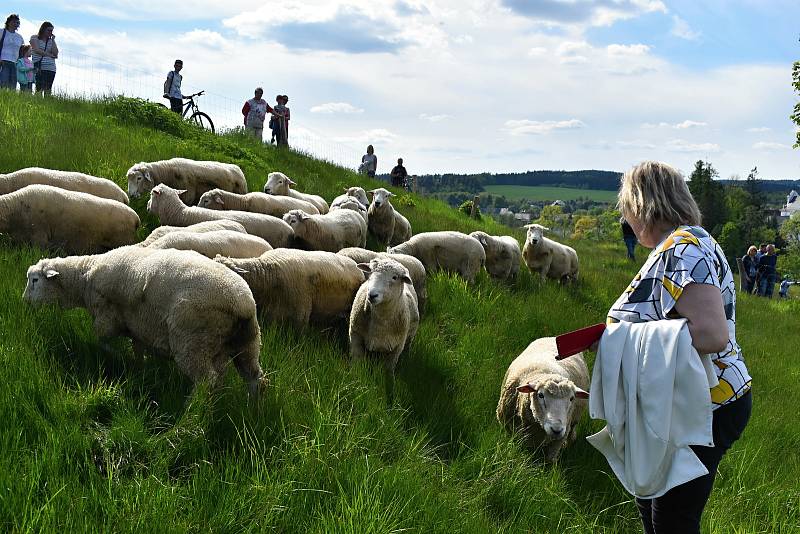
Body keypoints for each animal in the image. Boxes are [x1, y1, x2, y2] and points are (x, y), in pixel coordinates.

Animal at [21, 247, 264, 398]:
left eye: (35, 280)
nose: (24, 302)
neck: (84, 277)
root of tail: (243, 304)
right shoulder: (137, 326)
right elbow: (137, 349)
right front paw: (139, 367)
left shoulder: (106, 317)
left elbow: (101, 341)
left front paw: (119, 357)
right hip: (246, 342)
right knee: (254, 378)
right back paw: (253, 411)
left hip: (192, 342)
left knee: (207, 381)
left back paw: (191, 415)